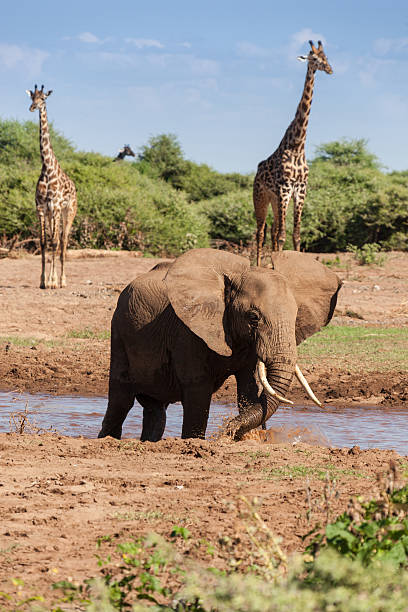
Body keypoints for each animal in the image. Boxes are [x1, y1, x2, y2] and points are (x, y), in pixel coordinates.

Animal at [98, 246, 342, 442]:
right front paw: (195, 441)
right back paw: (106, 439)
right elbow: (198, 387)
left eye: (296, 315)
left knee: (155, 411)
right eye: (253, 317)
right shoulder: (187, 332)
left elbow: (249, 388)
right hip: (119, 330)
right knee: (121, 400)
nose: (227, 428)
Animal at [255, 40, 332, 266]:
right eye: (314, 58)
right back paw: (257, 264)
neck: (298, 145)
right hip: (261, 197)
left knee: (271, 230)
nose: (330, 70)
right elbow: (282, 235)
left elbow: (296, 234)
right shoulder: (284, 188)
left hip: (275, 200)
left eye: (326, 58)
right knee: (260, 232)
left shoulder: (300, 190)